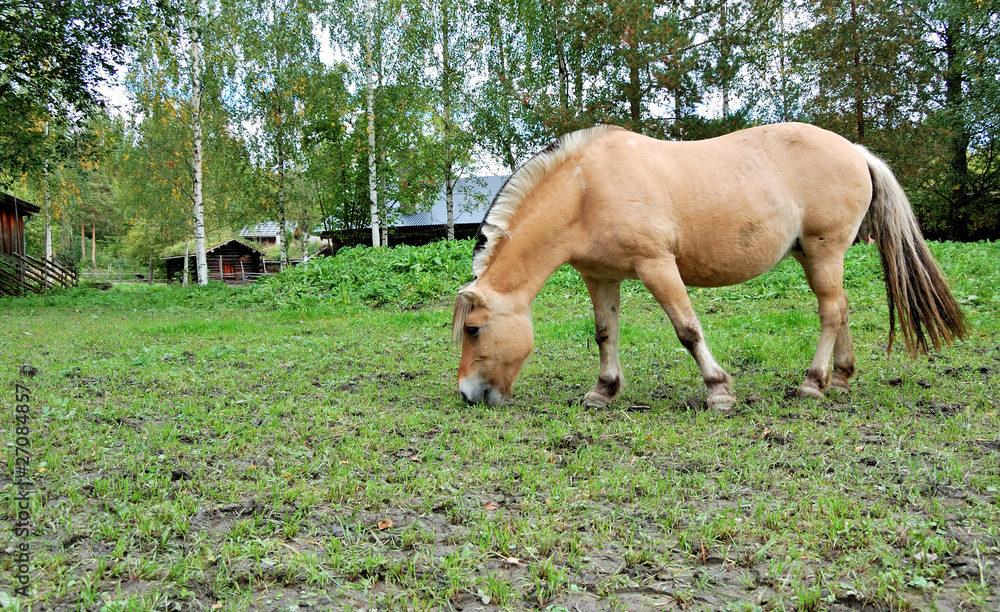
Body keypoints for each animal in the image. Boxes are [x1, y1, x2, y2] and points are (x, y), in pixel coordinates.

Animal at [452, 123, 966, 408]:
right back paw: (838, 378)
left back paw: (812, 384)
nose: (467, 394)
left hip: (824, 252)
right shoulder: (601, 277)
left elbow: (687, 330)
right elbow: (605, 334)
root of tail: (855, 151)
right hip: (817, 256)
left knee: (830, 311)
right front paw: (604, 390)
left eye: (474, 330)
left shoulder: (657, 266)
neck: (585, 191)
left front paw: (718, 390)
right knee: (840, 308)